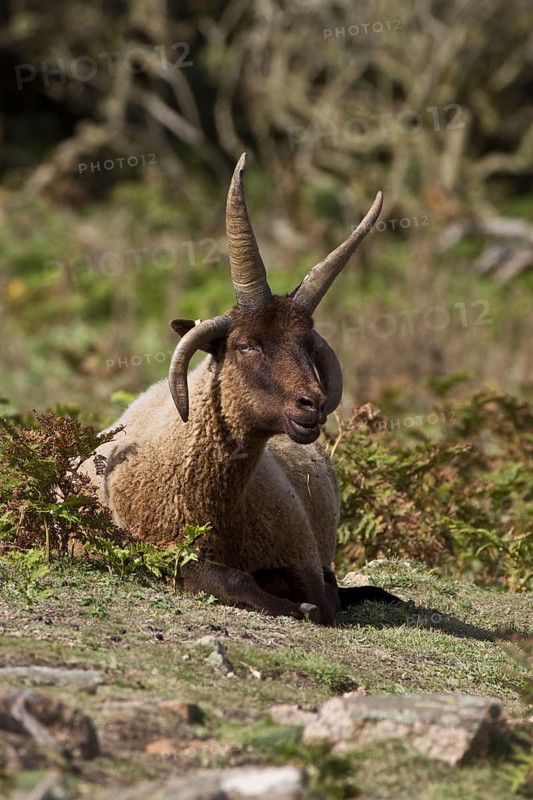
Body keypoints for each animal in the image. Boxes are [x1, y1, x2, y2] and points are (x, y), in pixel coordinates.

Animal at [82, 154, 400, 625]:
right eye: (245, 344)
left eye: (308, 346)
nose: (312, 405)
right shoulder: (163, 557)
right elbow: (233, 582)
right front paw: (289, 603)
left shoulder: (304, 559)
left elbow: (325, 600)